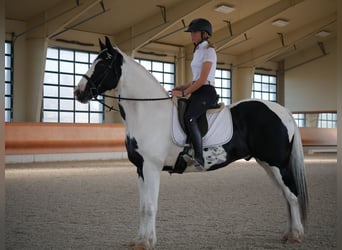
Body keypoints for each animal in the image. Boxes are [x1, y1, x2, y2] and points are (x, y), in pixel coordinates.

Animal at [75, 37, 310, 250]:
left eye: (103, 64)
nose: (79, 93)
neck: (147, 113)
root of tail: (283, 111)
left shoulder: (151, 167)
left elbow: (150, 206)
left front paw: (147, 242)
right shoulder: (140, 169)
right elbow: (142, 206)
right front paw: (139, 240)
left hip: (276, 163)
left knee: (292, 195)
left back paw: (296, 235)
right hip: (267, 164)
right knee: (285, 196)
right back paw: (288, 233)